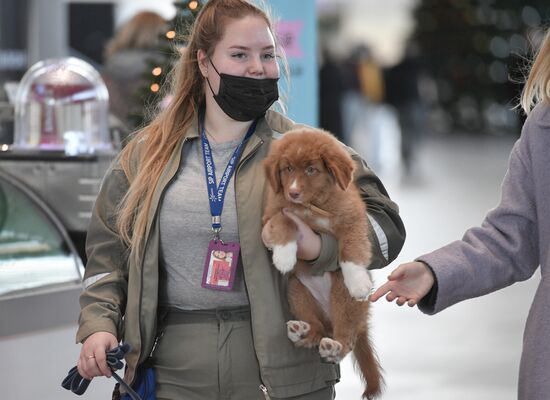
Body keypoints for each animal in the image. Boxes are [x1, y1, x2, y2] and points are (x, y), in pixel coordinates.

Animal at [264, 127, 384, 396]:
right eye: (288, 169)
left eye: (311, 170)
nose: (293, 192)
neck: (313, 205)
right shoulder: (271, 213)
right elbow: (284, 221)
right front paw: (284, 256)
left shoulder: (352, 218)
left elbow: (351, 247)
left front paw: (358, 281)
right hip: (297, 291)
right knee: (317, 333)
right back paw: (302, 331)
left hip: (342, 298)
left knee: (346, 337)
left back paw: (334, 347)